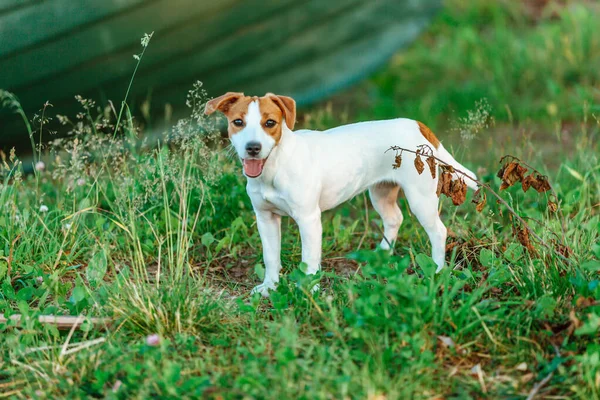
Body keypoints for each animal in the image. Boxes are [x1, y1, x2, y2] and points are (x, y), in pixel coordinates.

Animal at [206, 92, 478, 296]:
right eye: (238, 122)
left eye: (270, 123)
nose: (253, 148)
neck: (275, 166)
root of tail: (417, 125)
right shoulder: (265, 218)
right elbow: (271, 256)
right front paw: (270, 287)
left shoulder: (308, 220)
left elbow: (309, 260)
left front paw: (308, 290)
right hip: (381, 193)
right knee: (394, 219)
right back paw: (382, 254)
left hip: (420, 199)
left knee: (438, 232)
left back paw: (437, 271)